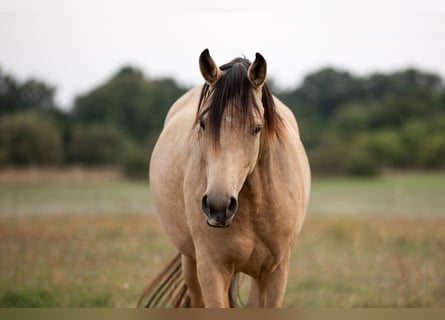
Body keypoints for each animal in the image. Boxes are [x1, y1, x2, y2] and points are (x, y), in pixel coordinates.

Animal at [138, 49, 308, 308]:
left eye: (257, 128)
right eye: (203, 123)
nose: (218, 207)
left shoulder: (276, 272)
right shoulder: (212, 270)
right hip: (191, 262)